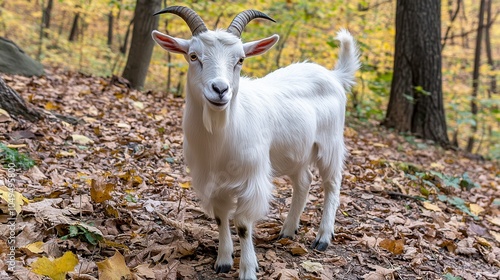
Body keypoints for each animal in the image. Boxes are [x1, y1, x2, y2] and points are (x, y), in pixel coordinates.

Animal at [152, 6, 360, 280]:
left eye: (240, 60)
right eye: (193, 56)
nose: (220, 89)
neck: (221, 136)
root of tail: (334, 76)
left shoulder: (252, 178)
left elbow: (242, 224)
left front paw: (248, 269)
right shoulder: (211, 179)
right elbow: (221, 218)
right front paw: (223, 261)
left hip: (330, 143)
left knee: (332, 184)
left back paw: (323, 237)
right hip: (295, 153)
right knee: (304, 181)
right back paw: (288, 230)